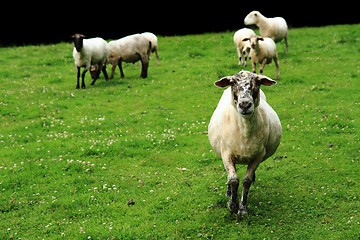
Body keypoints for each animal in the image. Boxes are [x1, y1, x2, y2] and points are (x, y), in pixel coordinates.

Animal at [207, 69, 282, 216]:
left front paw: (242, 208)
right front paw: (232, 204)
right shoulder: (226, 153)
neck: (245, 130)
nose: (245, 104)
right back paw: (229, 192)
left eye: (257, 82)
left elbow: (246, 181)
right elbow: (233, 179)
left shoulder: (258, 155)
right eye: (232, 82)